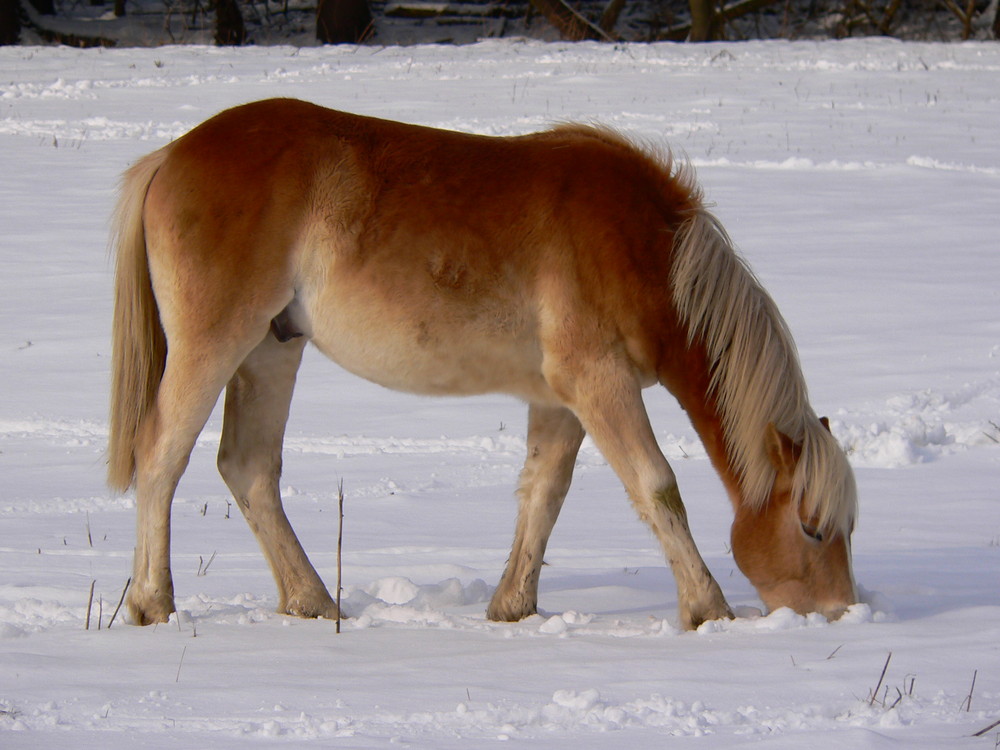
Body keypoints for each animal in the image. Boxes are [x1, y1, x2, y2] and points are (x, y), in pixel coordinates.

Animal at [111, 97, 860, 632]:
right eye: (813, 528)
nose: (842, 614)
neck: (644, 246)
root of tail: (172, 155)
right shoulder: (599, 382)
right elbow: (656, 489)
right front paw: (708, 610)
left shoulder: (561, 401)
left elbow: (544, 496)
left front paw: (512, 607)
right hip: (215, 343)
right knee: (162, 456)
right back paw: (152, 604)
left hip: (272, 349)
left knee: (249, 468)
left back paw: (312, 602)